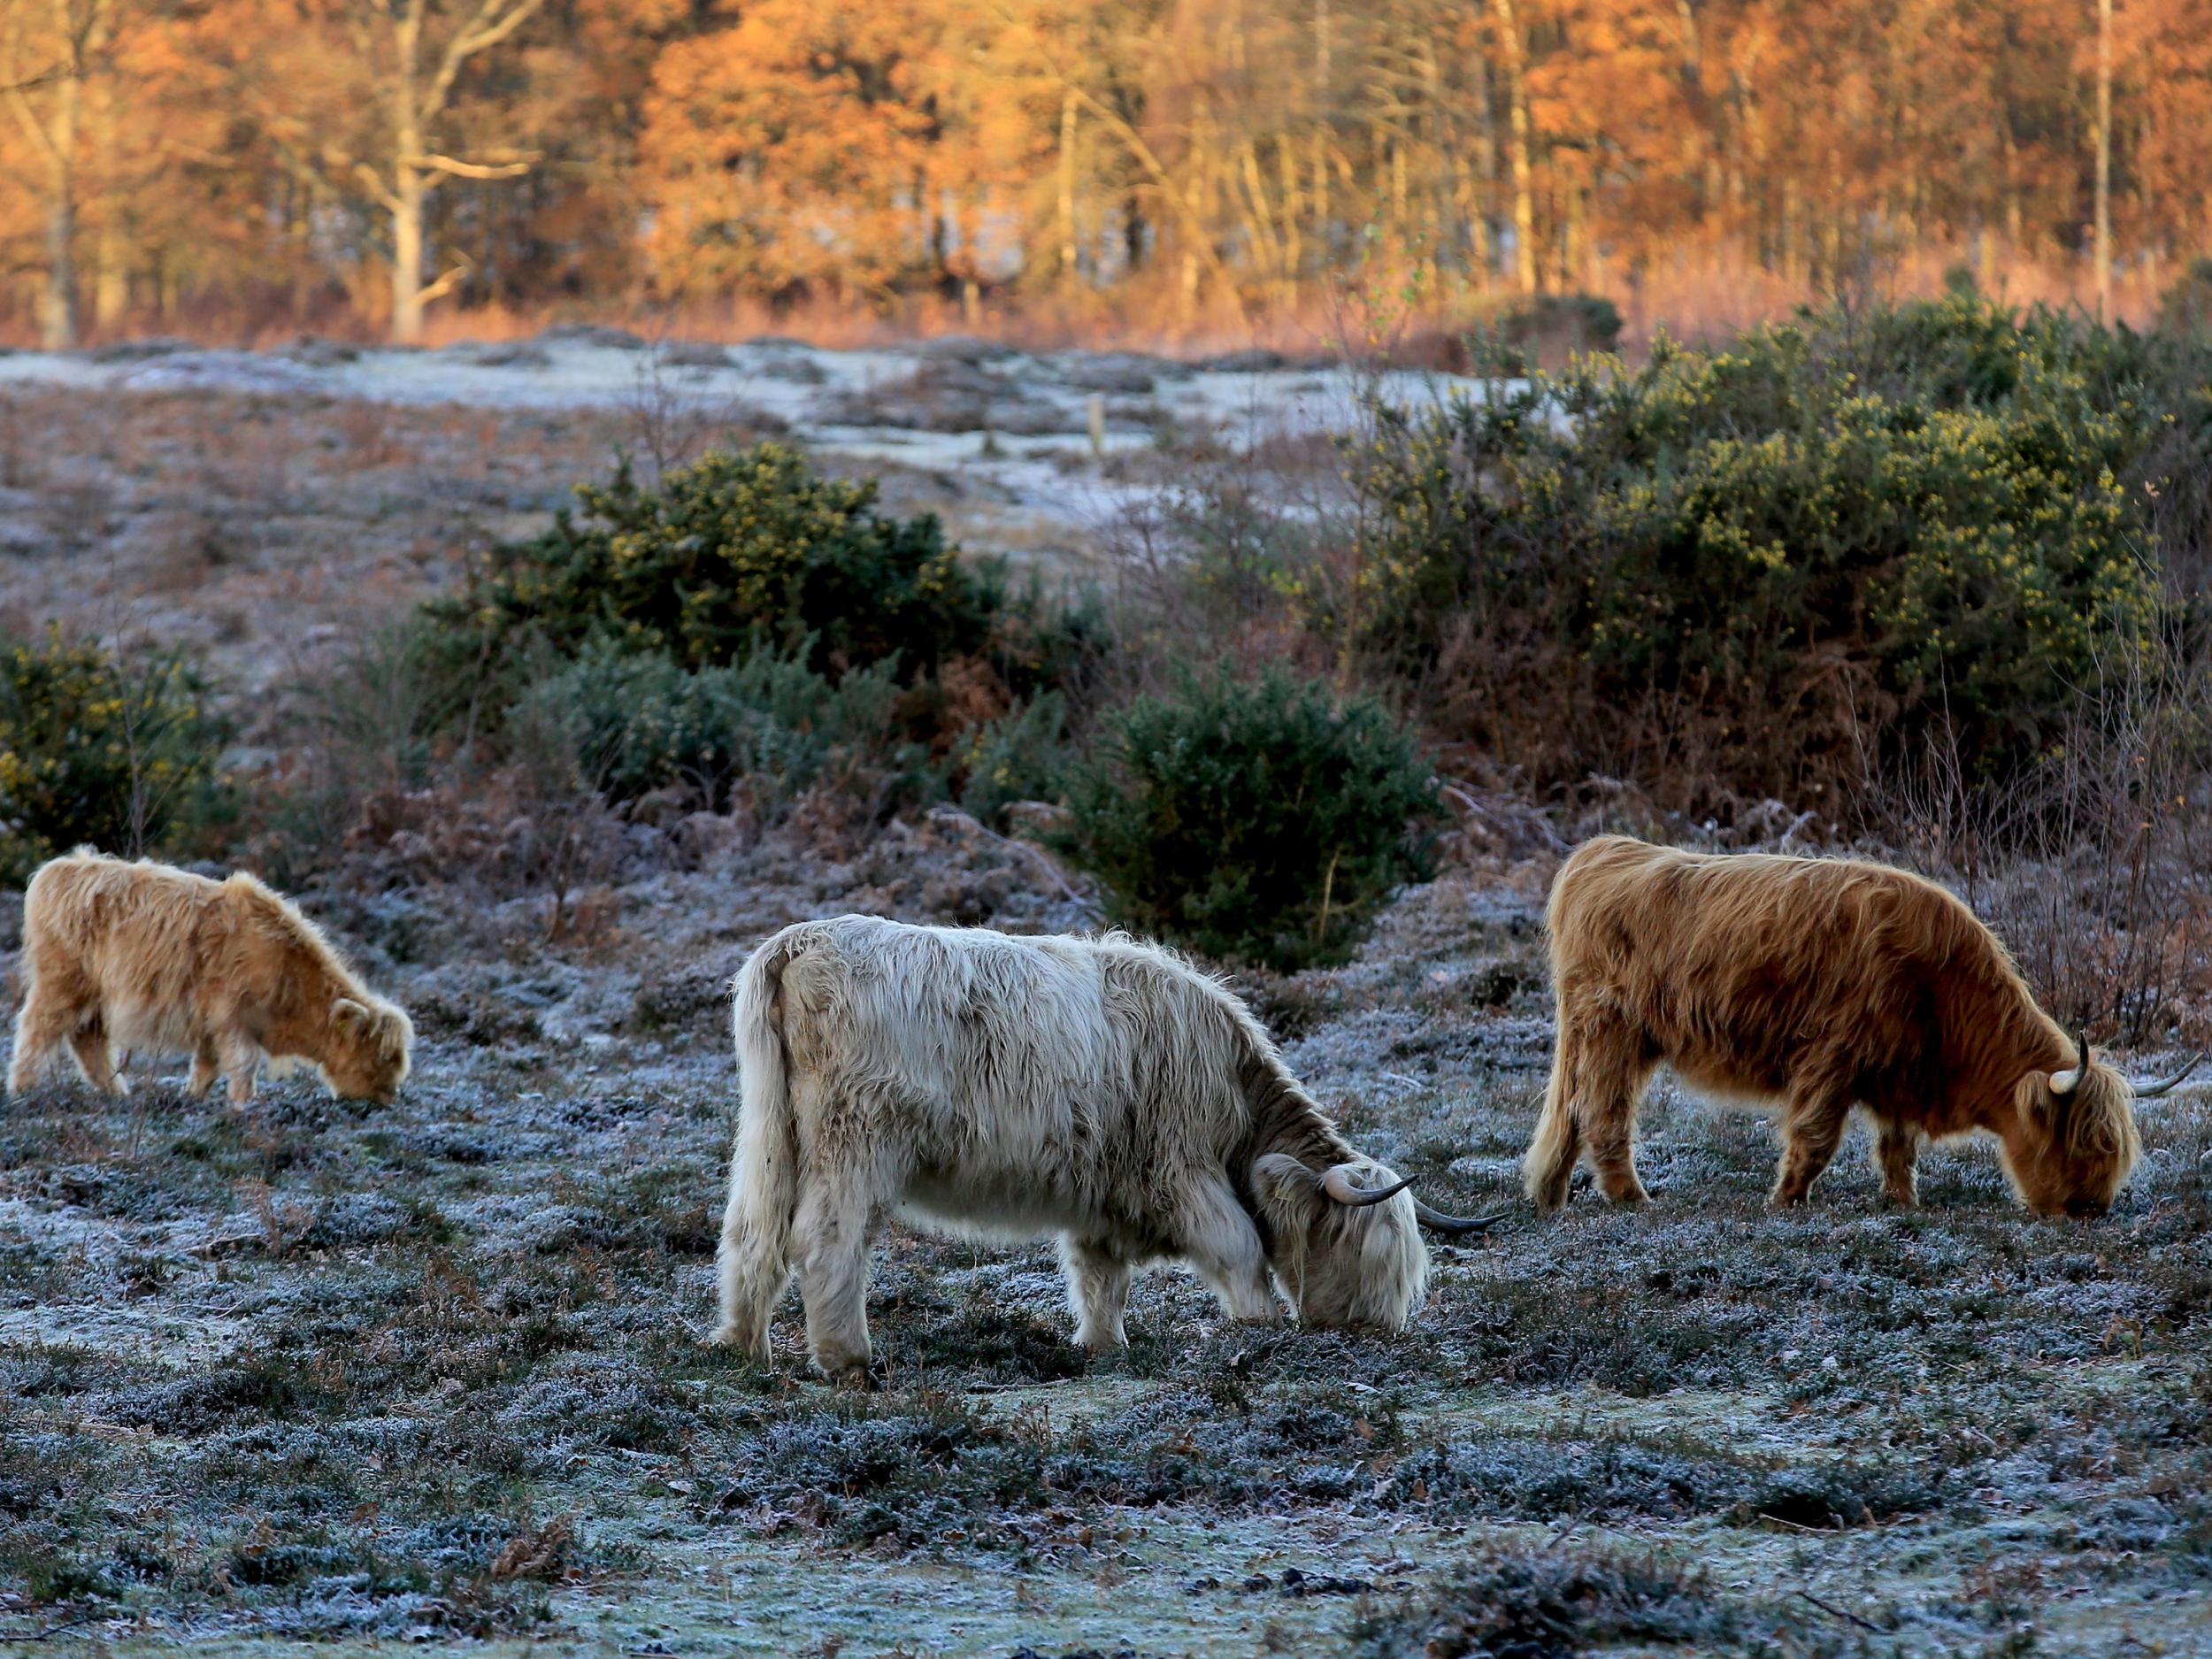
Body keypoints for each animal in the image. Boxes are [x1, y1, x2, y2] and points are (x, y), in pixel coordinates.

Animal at [7, 851, 413, 1106]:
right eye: (381, 1055)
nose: (389, 1097)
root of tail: (58, 868)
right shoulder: (229, 1014)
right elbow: (242, 1064)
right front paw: (245, 1105)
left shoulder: (208, 1024)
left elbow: (206, 1066)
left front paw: (193, 1098)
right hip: (62, 982)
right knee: (38, 1028)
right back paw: (24, 1090)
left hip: (93, 995)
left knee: (87, 1040)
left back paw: (116, 1094)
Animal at [711, 915, 1492, 1377]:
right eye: (1365, 1251)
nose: (1378, 1331)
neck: (1234, 1097)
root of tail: (801, 941)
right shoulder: (1180, 1169)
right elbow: (1240, 1246)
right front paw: (1257, 1327)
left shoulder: (1104, 1194)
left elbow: (1099, 1276)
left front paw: (1103, 1346)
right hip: (859, 1139)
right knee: (827, 1237)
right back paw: (848, 1358)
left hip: (772, 1131)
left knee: (753, 1231)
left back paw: (745, 1348)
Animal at [1523, 836, 2199, 1219]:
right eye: (2082, 1143)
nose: (2092, 1209)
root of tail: (1605, 852)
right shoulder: (1833, 1056)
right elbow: (1816, 1138)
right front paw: (1786, 1202)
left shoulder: (1900, 1072)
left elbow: (1897, 1147)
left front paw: (1904, 1204)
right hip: (1611, 1028)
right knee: (1603, 1114)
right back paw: (1634, 1198)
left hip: (1607, 1036)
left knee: (1572, 1110)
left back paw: (1551, 1199)